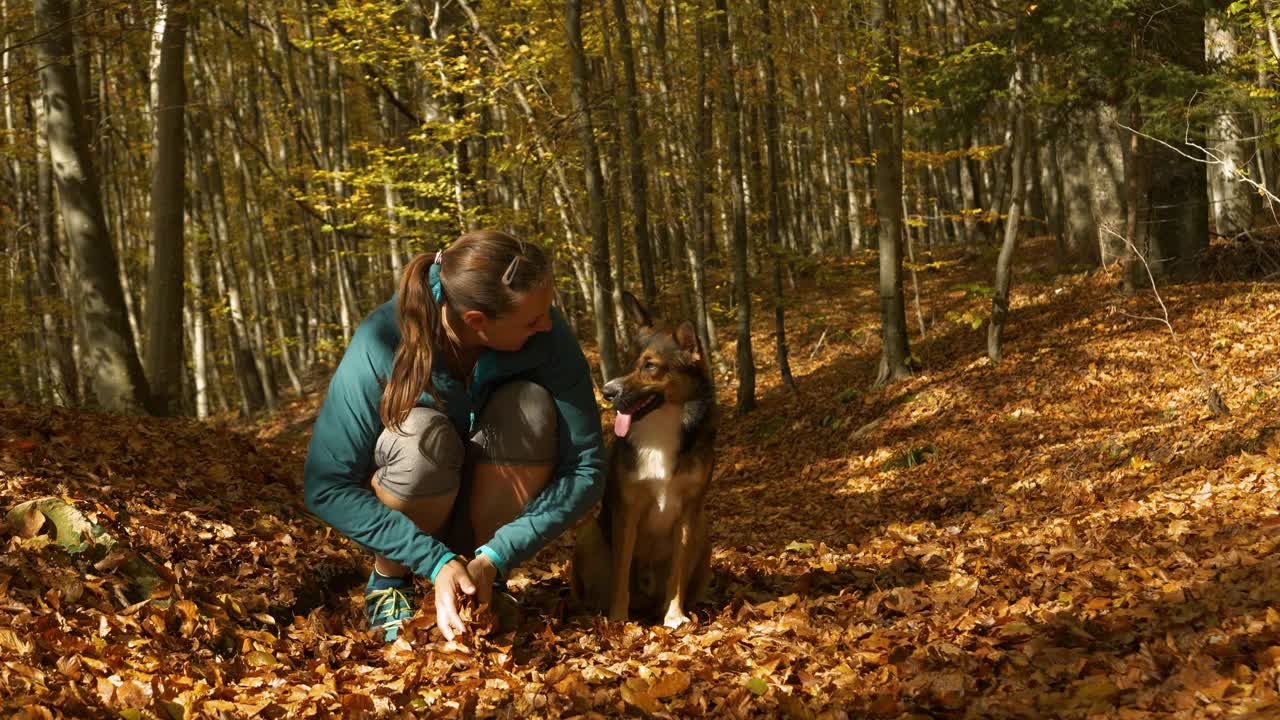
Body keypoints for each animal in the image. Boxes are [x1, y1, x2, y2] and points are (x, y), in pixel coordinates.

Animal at [573, 289, 716, 622]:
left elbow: (677, 574)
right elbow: (621, 571)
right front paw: (617, 618)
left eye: (650, 365)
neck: (661, 426)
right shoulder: (627, 510)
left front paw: (674, 616)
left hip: (704, 538)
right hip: (588, 535)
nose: (607, 392)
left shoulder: (689, 510)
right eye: (627, 360)